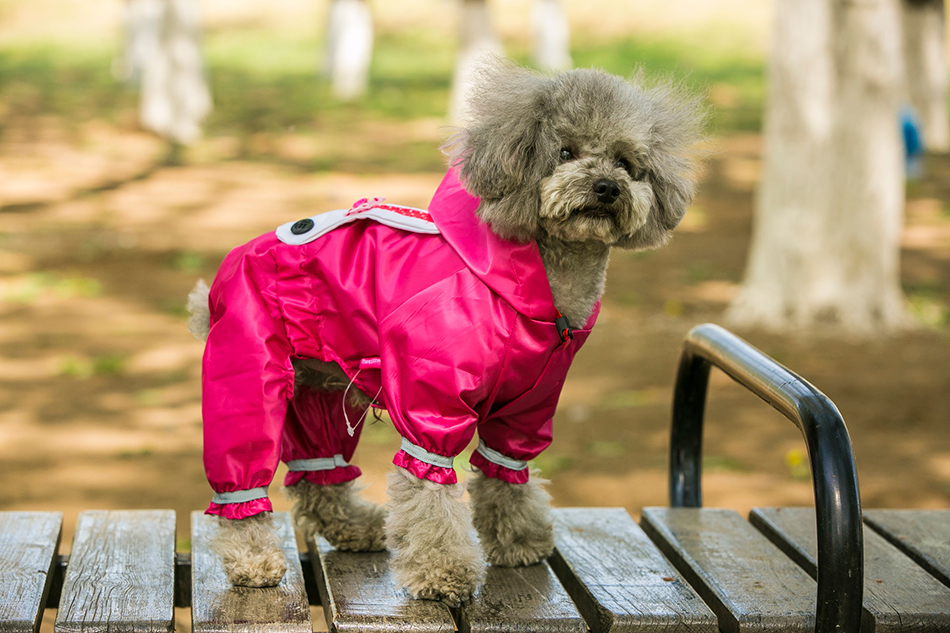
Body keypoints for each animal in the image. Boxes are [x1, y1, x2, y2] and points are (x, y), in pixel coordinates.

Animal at [188, 61, 701, 604]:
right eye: (565, 152)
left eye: (626, 162)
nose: (606, 187)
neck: (540, 290)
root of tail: (218, 282)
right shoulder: (429, 404)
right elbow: (429, 492)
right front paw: (442, 571)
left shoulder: (525, 412)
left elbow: (506, 474)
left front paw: (518, 539)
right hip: (249, 378)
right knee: (241, 485)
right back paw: (253, 561)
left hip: (316, 389)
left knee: (318, 478)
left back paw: (358, 528)